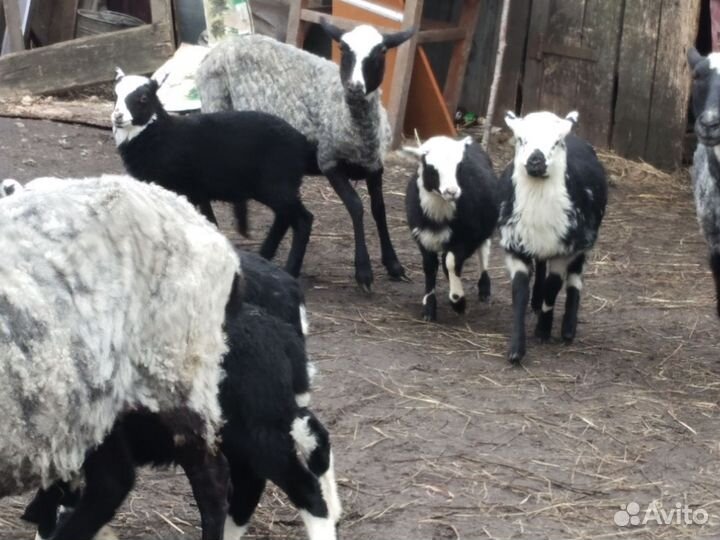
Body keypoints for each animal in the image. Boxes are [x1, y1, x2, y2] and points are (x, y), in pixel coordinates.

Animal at [112, 68, 315, 278]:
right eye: (116, 94)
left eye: (143, 98)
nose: (117, 116)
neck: (159, 135)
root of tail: (303, 143)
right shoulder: (194, 191)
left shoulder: (181, 189)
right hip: (275, 187)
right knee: (284, 217)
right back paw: (265, 255)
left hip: (277, 183)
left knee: (302, 219)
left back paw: (291, 269)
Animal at [196, 20, 415, 291]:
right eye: (343, 49)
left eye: (381, 51)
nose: (355, 87)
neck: (355, 123)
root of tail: (221, 46)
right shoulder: (329, 160)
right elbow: (356, 206)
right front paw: (363, 271)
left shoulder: (375, 165)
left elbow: (379, 209)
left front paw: (394, 265)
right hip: (217, 113)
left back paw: (266, 252)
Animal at [404, 136, 500, 321]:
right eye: (430, 166)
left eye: (459, 166)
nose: (452, 191)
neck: (438, 217)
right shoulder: (423, 237)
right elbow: (430, 266)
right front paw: (429, 308)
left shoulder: (468, 237)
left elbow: (450, 262)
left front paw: (458, 302)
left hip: (483, 229)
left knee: (483, 252)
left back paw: (484, 289)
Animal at [499, 111, 608, 364]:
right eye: (521, 139)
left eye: (557, 142)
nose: (535, 160)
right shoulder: (515, 245)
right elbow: (519, 292)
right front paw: (516, 350)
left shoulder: (564, 249)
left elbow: (553, 286)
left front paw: (543, 330)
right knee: (540, 265)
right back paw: (537, 302)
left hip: (582, 242)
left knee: (574, 279)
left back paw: (568, 328)